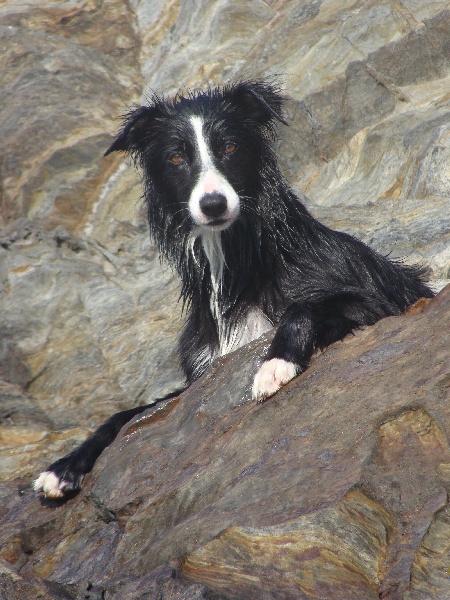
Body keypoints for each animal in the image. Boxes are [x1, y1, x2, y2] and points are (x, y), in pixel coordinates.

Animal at [33, 79, 434, 500]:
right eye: (176, 157)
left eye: (229, 148)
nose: (213, 204)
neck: (234, 262)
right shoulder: (199, 376)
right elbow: (123, 415)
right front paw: (64, 466)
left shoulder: (379, 299)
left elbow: (304, 307)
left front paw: (274, 364)